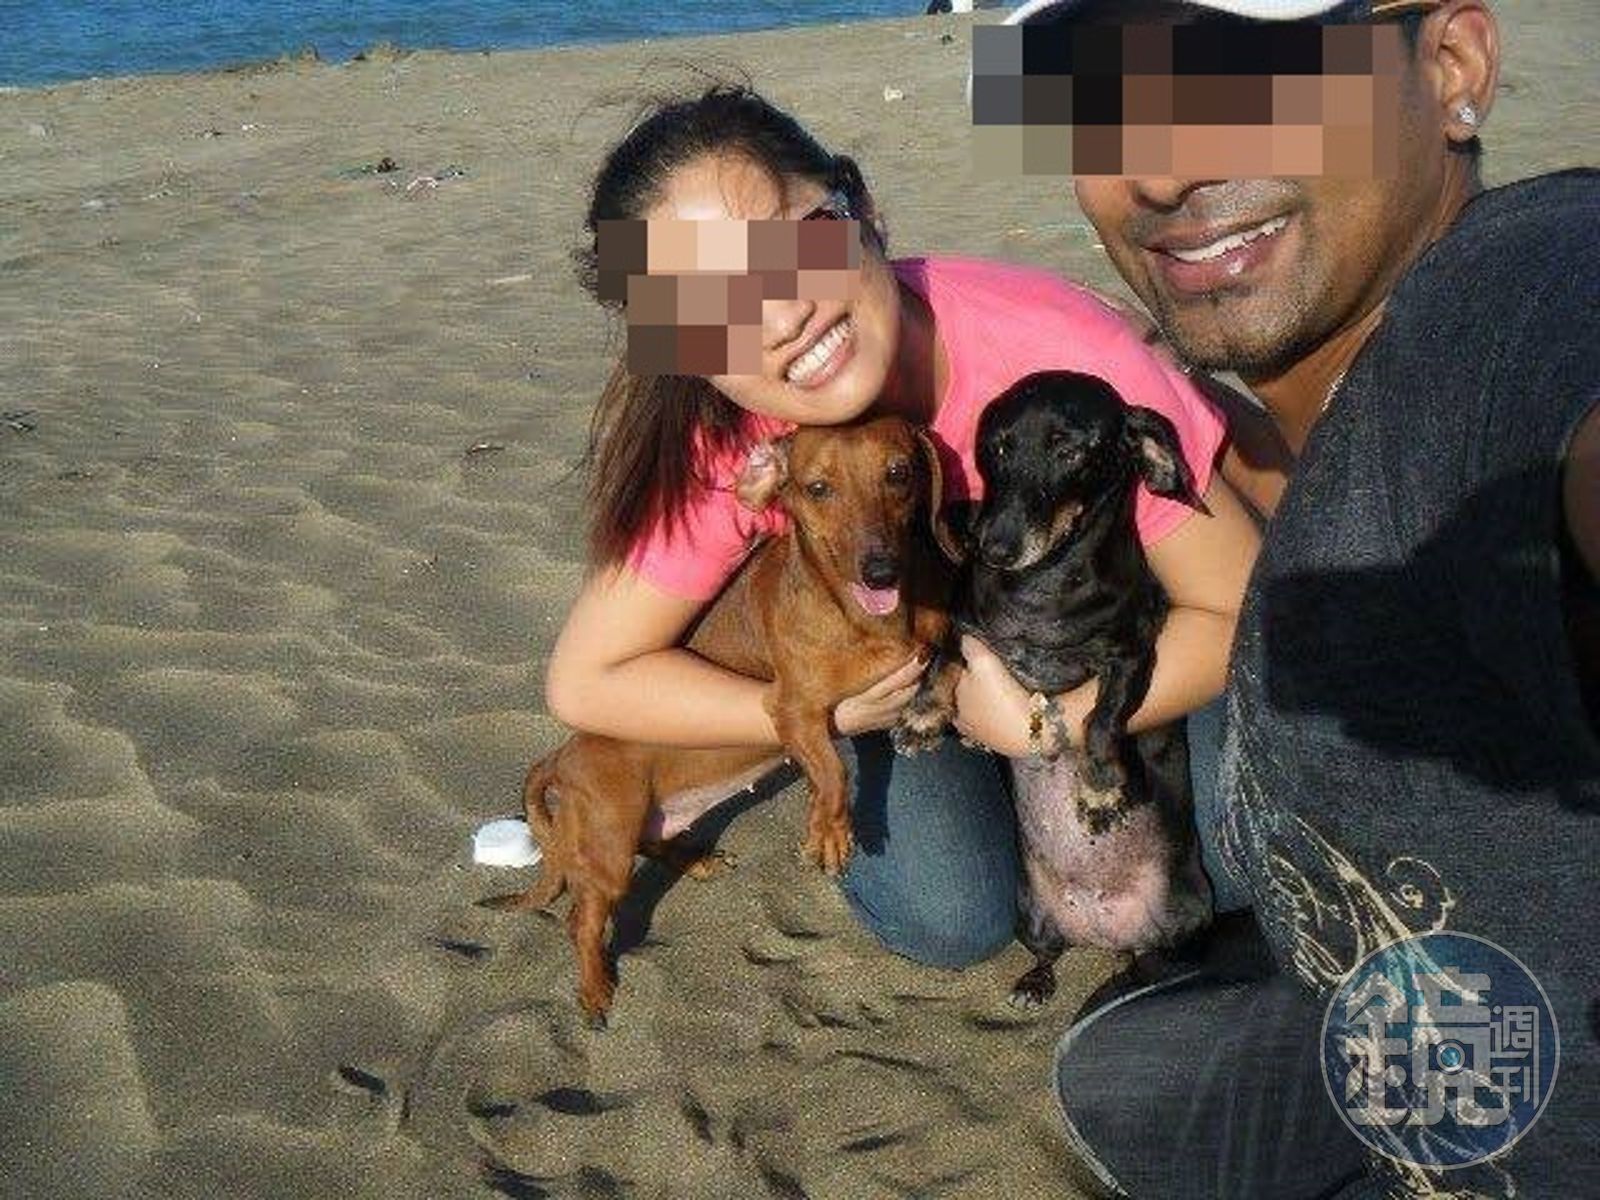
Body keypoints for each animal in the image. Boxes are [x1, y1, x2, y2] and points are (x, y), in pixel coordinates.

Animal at [481, 416, 959, 1027]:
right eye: (818, 488)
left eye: (898, 474)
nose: (881, 571)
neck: (868, 619)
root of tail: (562, 755)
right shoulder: (794, 712)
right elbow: (832, 772)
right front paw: (830, 830)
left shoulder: (937, 639)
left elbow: (951, 661)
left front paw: (927, 715)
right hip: (609, 845)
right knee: (581, 920)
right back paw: (594, 989)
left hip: (641, 822)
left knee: (652, 842)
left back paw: (696, 861)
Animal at [913, 370, 1215, 1007]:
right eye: (998, 447)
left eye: (1071, 451)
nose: (993, 546)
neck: (1041, 588)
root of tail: (1102, 928)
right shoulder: (966, 626)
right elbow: (943, 659)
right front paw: (923, 716)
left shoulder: (1132, 656)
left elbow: (1101, 719)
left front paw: (1098, 789)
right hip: (1029, 911)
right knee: (1047, 952)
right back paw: (1036, 981)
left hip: (1187, 917)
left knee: (1148, 960)